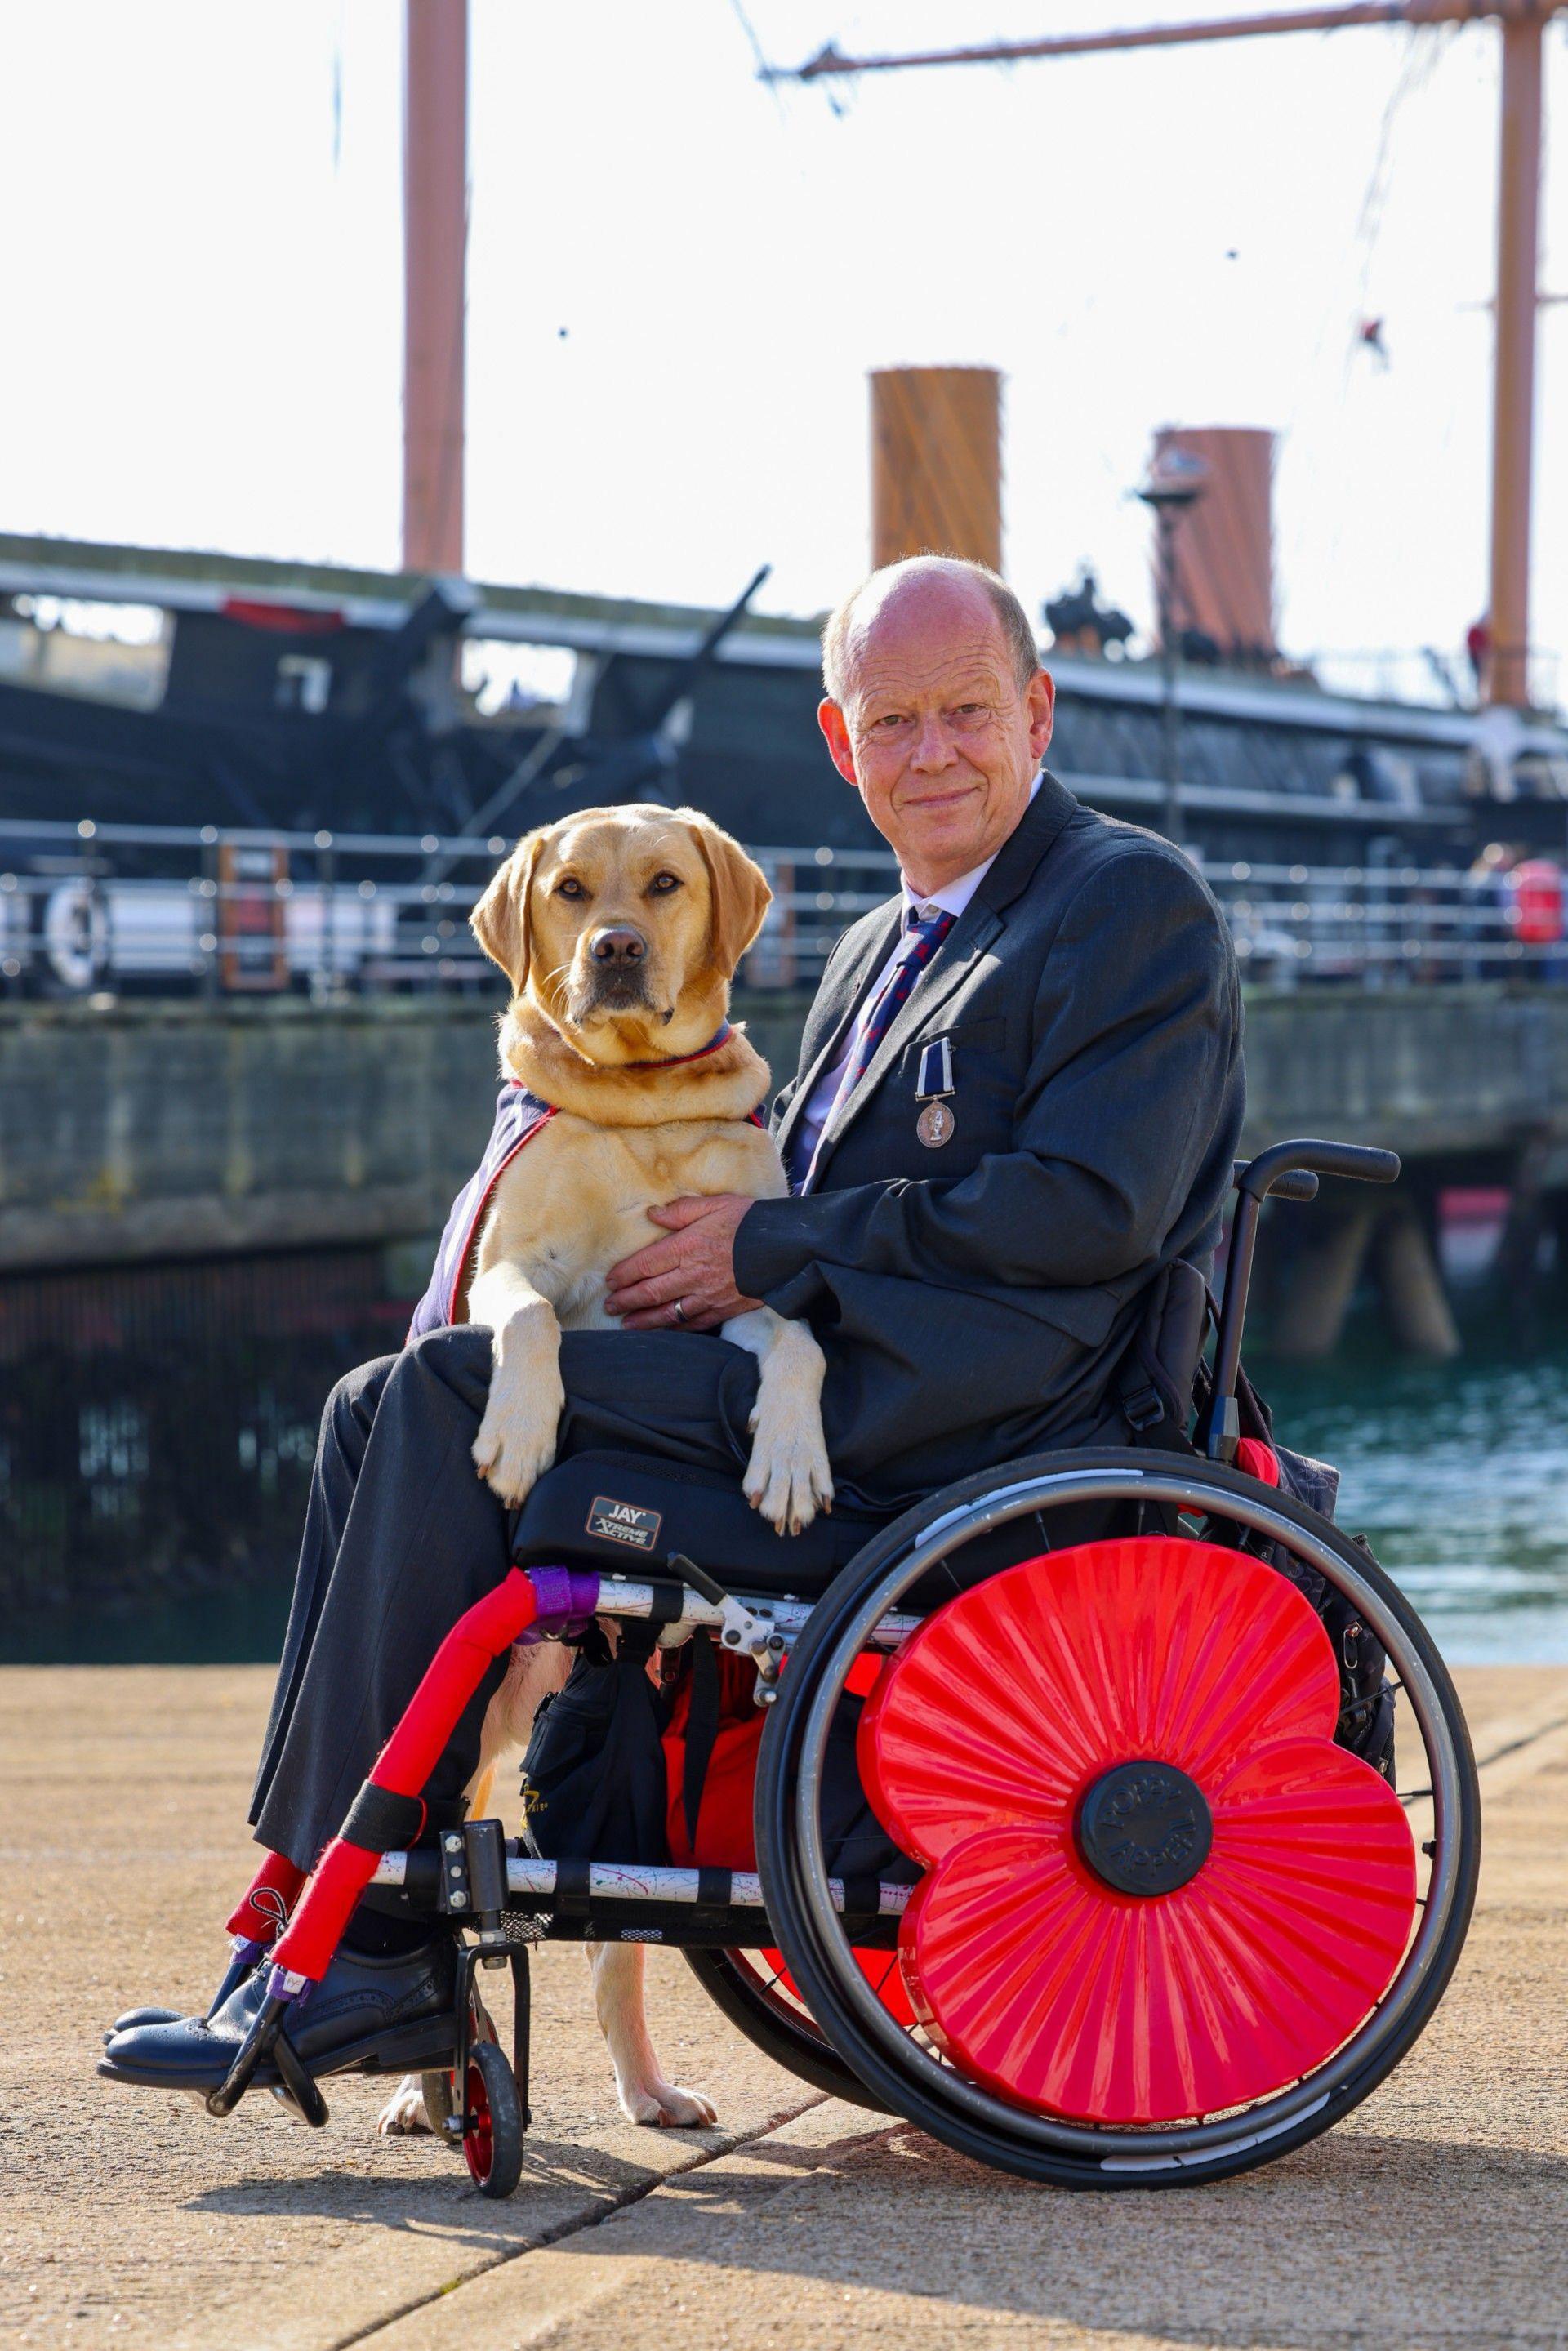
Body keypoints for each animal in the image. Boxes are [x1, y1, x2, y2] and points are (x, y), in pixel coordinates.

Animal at [381, 808, 832, 2153]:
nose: (618, 947)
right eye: (572, 890)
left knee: (610, 1948)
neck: (641, 1106)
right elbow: (530, 1319)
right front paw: (520, 1432)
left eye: (665, 883)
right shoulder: (508, 1266)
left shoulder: (718, 1296)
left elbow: (802, 1338)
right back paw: (423, 2084)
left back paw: (640, 2088)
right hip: (473, 1732)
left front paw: (792, 1454)